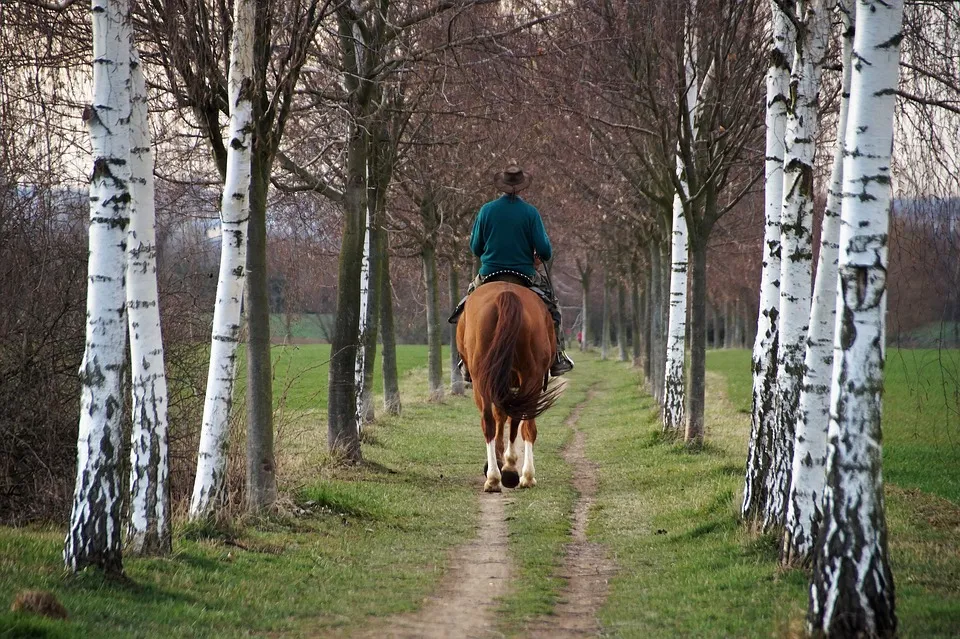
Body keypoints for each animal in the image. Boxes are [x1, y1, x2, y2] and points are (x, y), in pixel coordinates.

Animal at [456, 278, 563, 493]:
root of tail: (506, 294)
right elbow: (506, 416)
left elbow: (501, 416)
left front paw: (500, 461)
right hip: (530, 377)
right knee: (524, 422)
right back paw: (520, 475)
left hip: (483, 378)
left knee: (490, 422)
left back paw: (499, 476)